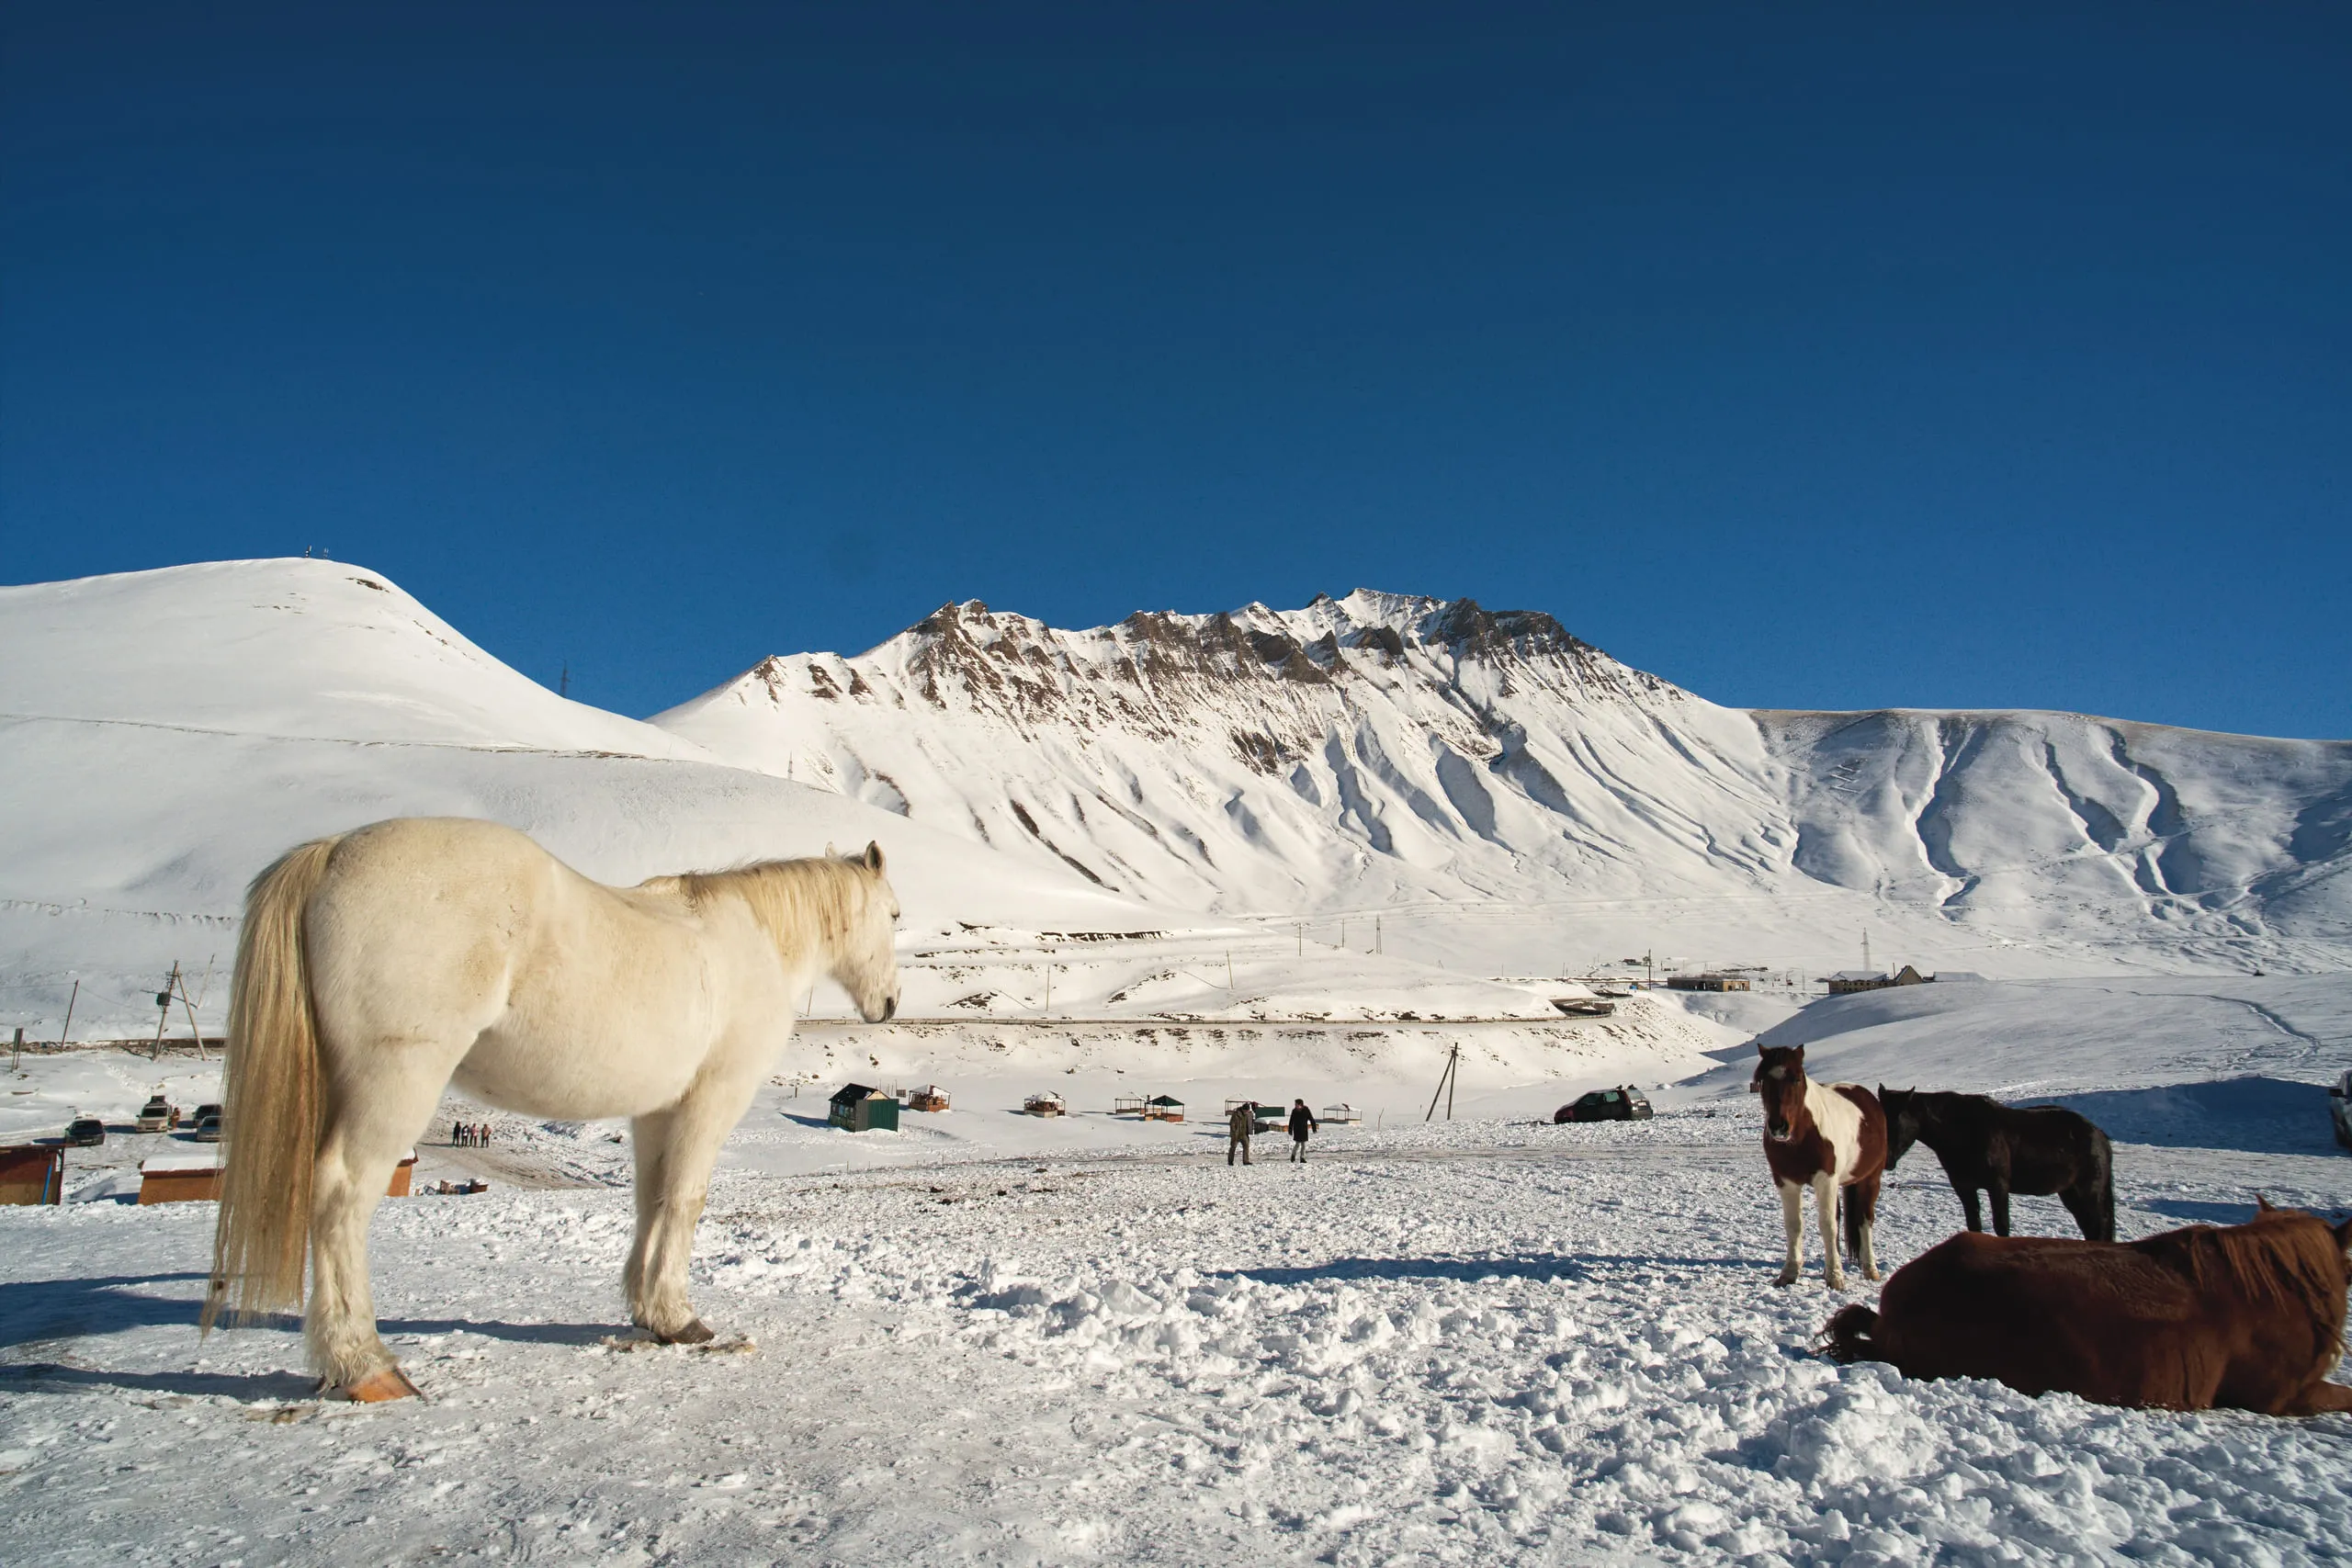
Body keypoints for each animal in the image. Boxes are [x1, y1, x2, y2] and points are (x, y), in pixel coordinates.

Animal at [204, 817, 901, 1402]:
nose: (891, 1002)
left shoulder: (656, 1111)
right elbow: (686, 1200)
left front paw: (652, 1313)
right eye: (894, 913)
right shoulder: (712, 1097)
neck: (752, 942)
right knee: (340, 1196)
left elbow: (651, 1199)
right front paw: (681, 1317)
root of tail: (332, 853)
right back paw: (363, 1365)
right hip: (396, 1081)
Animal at [1752, 1044, 1887, 1290]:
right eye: (1762, 1080)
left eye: (1796, 1078)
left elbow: (1827, 1225)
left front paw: (1835, 1277)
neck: (1802, 1135)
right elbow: (1794, 1225)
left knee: (1865, 1221)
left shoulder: (1825, 1179)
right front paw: (1789, 1273)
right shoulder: (1786, 1181)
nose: (1778, 1127)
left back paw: (1870, 1269)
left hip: (1870, 1179)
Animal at [1879, 1088, 2114, 1242]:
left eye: (1896, 1122)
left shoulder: (1998, 1186)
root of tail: (2099, 1134)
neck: (1964, 1131)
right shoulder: (1964, 1187)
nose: (1885, 1161)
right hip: (2070, 1193)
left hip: (2089, 1192)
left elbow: (2002, 1226)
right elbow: (1974, 1225)